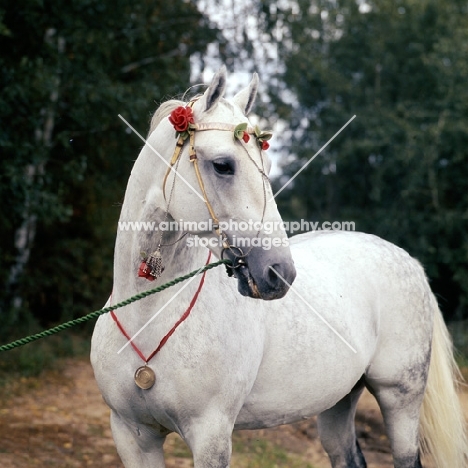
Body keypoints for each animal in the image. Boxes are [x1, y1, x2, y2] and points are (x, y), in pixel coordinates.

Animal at [89, 67, 466, 466]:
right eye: (223, 165)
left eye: (267, 166)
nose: (279, 273)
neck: (148, 319)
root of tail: (408, 260)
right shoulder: (132, 435)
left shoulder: (210, 436)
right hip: (339, 401)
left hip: (400, 399)